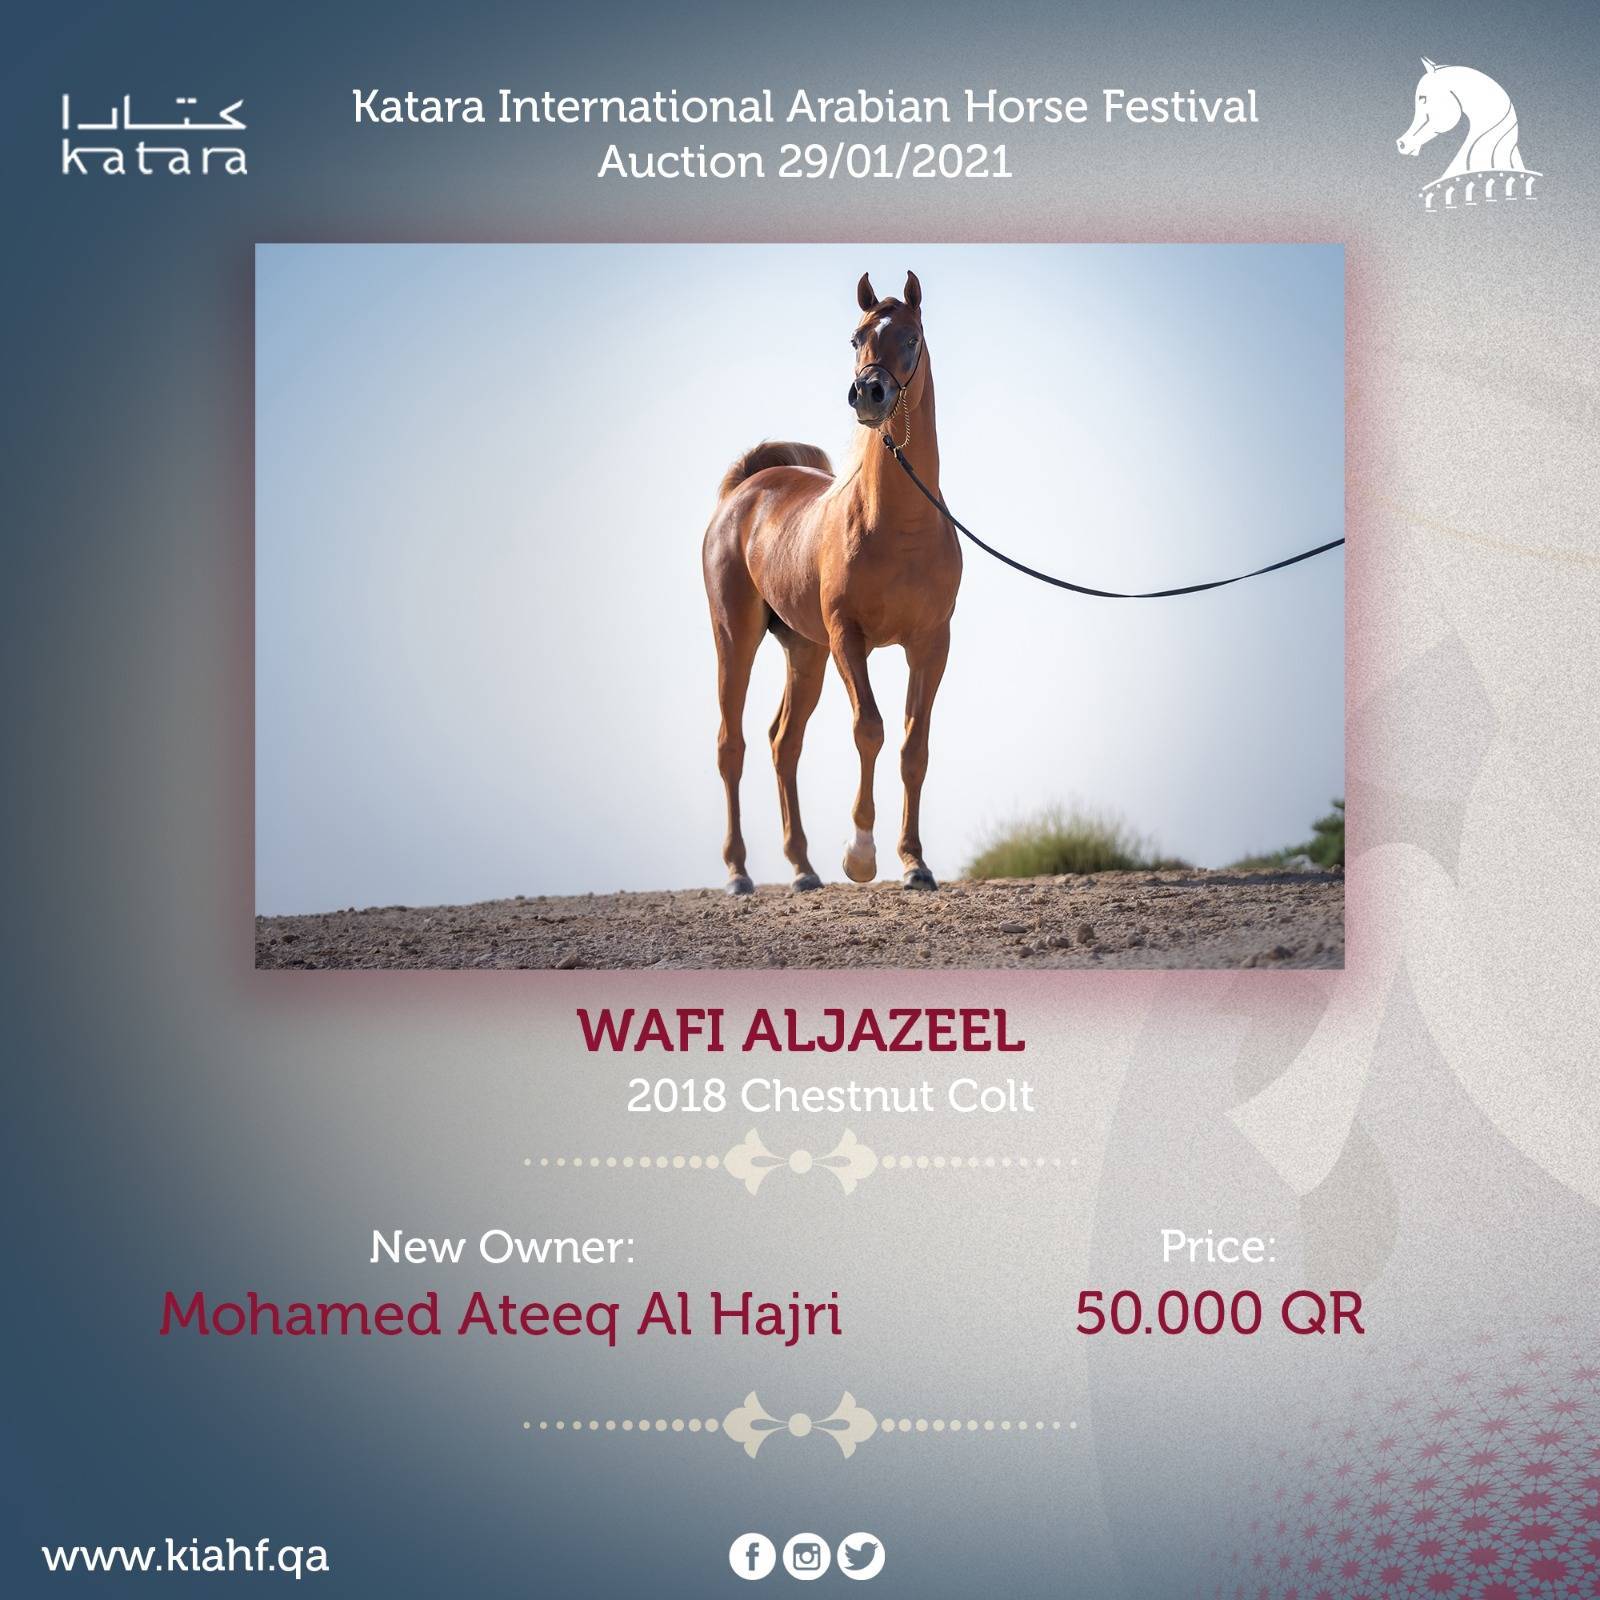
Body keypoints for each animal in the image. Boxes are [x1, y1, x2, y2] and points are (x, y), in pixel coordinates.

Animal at [701, 269, 961, 897]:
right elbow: (870, 728)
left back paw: (802, 868)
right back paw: (739, 872)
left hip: (805, 651)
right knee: (731, 744)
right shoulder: (850, 638)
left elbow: (914, 745)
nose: (868, 393)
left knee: (783, 742)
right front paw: (861, 856)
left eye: (912, 338)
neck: (896, 525)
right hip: (736, 638)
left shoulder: (931, 644)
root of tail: (746, 488)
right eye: (856, 338)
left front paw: (915, 863)